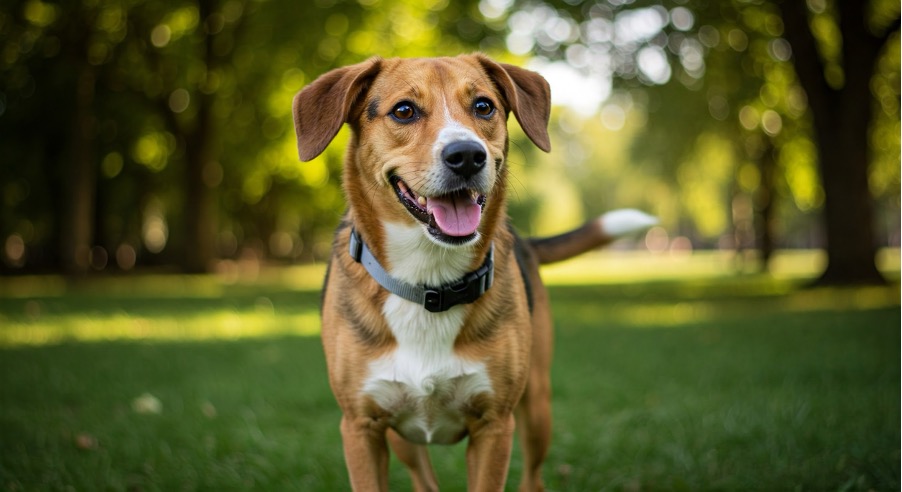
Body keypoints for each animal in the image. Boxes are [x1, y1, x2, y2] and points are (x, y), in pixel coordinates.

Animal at [296, 54, 656, 492]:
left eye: (484, 106)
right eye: (404, 111)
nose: (467, 155)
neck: (429, 282)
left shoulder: (494, 426)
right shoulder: (361, 428)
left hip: (537, 407)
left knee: (533, 476)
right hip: (401, 438)